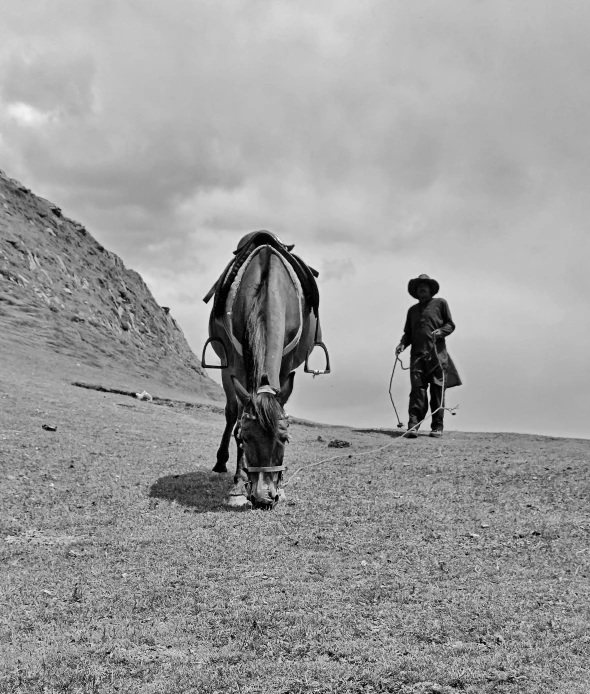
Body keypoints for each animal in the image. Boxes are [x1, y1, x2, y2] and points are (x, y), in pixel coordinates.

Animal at [205, 231, 328, 508]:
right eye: (244, 438)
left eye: (285, 438)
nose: (264, 498)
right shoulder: (236, 363)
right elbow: (237, 415)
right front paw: (238, 485)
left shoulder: (285, 362)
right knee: (231, 412)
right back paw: (221, 463)